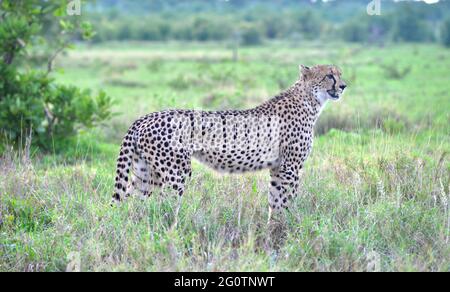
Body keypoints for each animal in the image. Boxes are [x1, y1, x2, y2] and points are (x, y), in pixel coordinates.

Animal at [112, 64, 348, 221]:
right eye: (329, 75)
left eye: (340, 74)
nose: (344, 86)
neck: (310, 100)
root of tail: (145, 117)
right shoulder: (290, 167)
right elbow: (288, 200)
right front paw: (289, 228)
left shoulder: (277, 168)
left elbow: (275, 201)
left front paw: (275, 228)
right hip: (176, 171)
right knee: (165, 207)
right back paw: (171, 233)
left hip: (145, 173)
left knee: (132, 204)